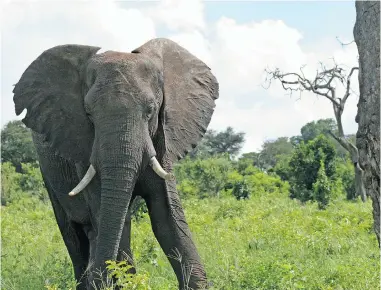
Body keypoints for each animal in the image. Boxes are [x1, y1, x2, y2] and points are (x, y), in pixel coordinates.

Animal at [11, 37, 218, 288]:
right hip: (48, 174)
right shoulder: (84, 151)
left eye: (151, 110)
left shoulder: (162, 142)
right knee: (75, 237)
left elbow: (167, 219)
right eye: (88, 113)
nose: (102, 278)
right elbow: (113, 220)